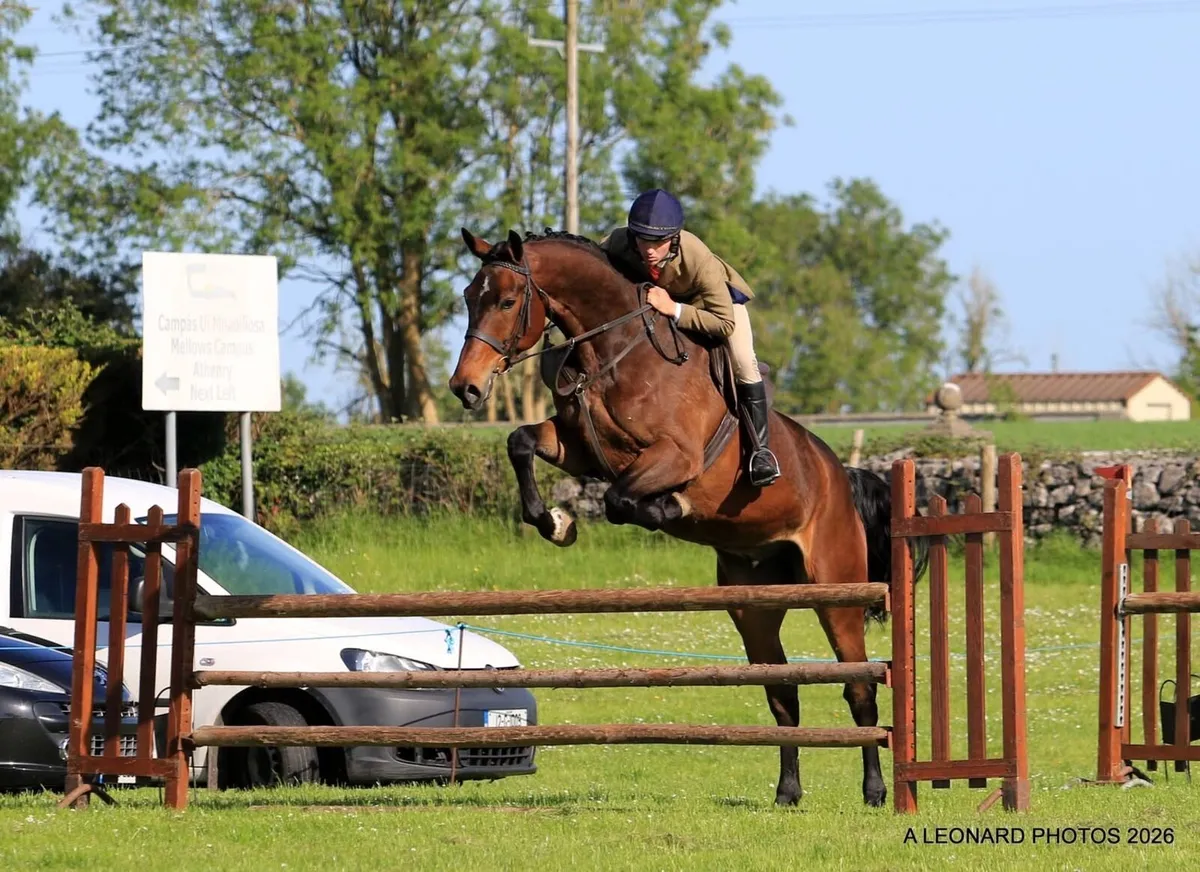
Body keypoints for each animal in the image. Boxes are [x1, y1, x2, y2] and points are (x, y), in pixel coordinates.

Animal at [448, 227, 929, 808]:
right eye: (468, 298)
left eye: (506, 301)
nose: (465, 388)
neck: (613, 352)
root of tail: (840, 473)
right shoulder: (578, 449)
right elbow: (520, 442)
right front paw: (556, 523)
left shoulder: (674, 457)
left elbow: (620, 500)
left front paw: (665, 507)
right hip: (753, 605)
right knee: (783, 693)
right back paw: (788, 791)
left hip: (837, 590)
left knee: (858, 684)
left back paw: (876, 791)